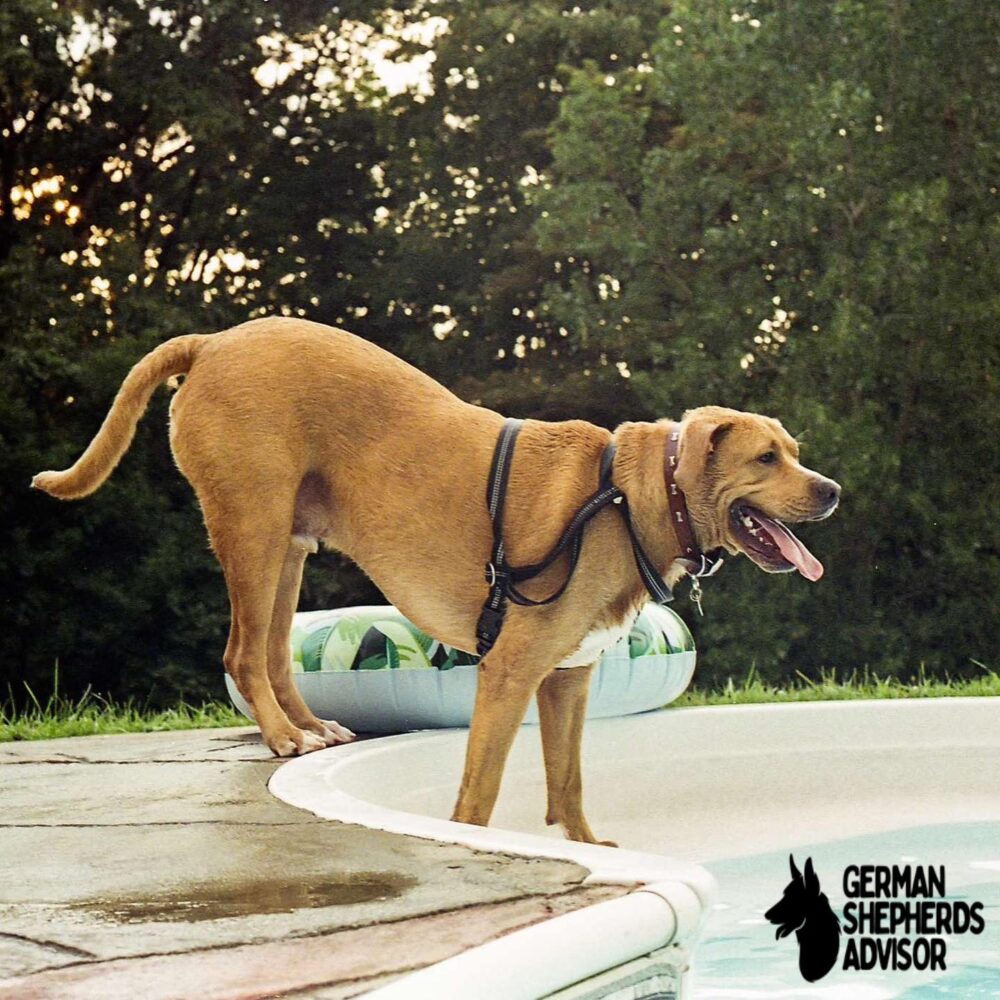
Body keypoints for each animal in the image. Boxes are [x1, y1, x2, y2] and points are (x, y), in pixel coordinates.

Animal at [33, 320, 836, 844]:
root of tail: (215, 340)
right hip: (252, 528)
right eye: (766, 458)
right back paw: (284, 738)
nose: (831, 490)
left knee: (271, 655)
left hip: (289, 546)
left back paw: (308, 728)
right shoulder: (510, 672)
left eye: (794, 451)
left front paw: (582, 845)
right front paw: (475, 845)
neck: (628, 496)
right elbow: (480, 790)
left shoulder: (567, 679)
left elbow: (568, 780)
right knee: (241, 653)